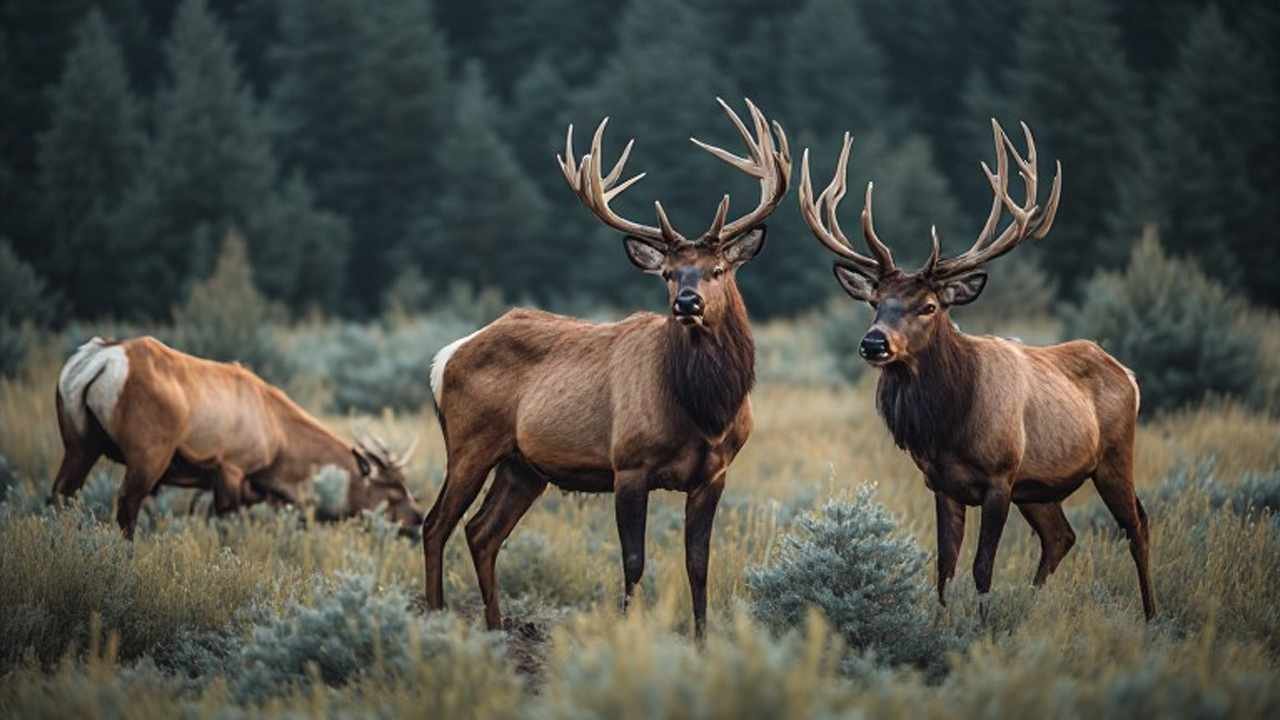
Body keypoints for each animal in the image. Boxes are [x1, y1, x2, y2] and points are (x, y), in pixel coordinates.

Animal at [51, 336, 425, 538]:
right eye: (392, 493)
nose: (418, 518)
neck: (279, 446)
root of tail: (100, 358)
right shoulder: (232, 467)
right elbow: (227, 528)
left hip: (79, 444)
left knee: (61, 494)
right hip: (148, 454)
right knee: (126, 507)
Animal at [424, 98, 790, 635]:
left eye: (718, 269)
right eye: (667, 272)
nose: (686, 303)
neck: (704, 411)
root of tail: (446, 356)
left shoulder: (714, 473)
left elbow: (698, 564)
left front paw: (703, 640)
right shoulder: (629, 463)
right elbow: (633, 562)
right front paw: (628, 631)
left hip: (522, 466)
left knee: (481, 531)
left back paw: (495, 626)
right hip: (470, 441)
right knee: (436, 524)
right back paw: (435, 617)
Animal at [798, 120, 1154, 620]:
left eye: (929, 305)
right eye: (875, 302)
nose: (874, 343)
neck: (947, 427)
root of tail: (1129, 374)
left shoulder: (1000, 477)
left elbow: (982, 570)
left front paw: (981, 627)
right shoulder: (942, 483)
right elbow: (945, 569)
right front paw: (942, 623)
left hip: (1113, 455)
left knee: (1137, 523)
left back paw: (1152, 614)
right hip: (1039, 487)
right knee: (1061, 536)